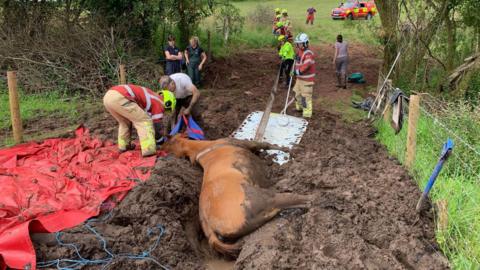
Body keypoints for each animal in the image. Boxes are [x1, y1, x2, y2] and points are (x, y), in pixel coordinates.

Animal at [159, 136, 314, 256]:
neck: (202, 148)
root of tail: (206, 222)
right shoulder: (246, 143)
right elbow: (268, 144)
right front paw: (294, 151)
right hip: (263, 200)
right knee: (296, 199)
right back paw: (315, 198)